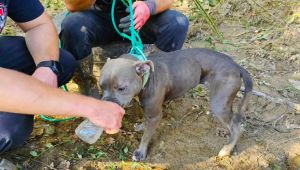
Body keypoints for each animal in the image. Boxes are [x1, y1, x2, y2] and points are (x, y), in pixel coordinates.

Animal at [99, 47, 252, 161]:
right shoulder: (149, 112)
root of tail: (236, 66)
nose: (107, 103)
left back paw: (226, 149)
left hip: (218, 104)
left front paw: (141, 152)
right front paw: (142, 126)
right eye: (101, 86)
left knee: (237, 128)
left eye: (121, 88)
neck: (147, 78)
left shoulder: (155, 115)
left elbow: (146, 136)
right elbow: (145, 122)